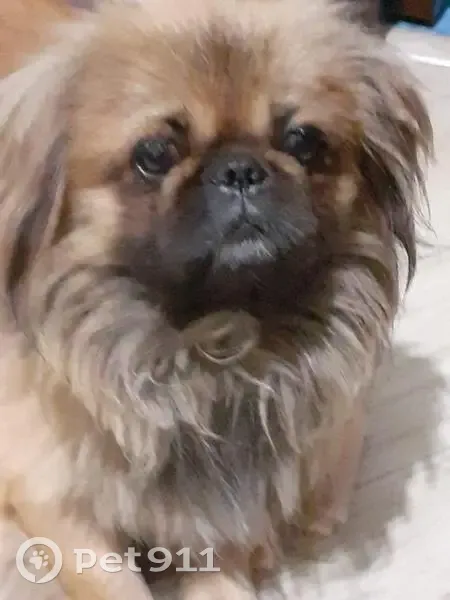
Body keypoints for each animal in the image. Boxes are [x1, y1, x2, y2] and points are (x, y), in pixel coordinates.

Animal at [0, 0, 432, 599]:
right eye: (154, 154)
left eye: (303, 142)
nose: (240, 169)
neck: (211, 345)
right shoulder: (56, 503)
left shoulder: (218, 518)